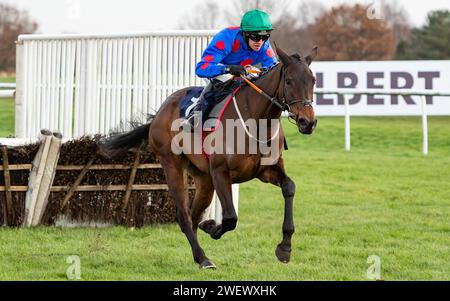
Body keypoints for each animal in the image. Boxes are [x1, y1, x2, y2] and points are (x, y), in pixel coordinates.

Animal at [100, 45, 318, 268]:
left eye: (313, 80)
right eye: (289, 81)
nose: (307, 122)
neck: (256, 122)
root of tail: (159, 113)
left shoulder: (265, 170)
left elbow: (289, 187)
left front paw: (285, 248)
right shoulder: (220, 172)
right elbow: (230, 218)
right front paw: (213, 228)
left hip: (204, 179)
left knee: (194, 215)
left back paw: (198, 255)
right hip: (172, 165)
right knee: (184, 216)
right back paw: (203, 258)